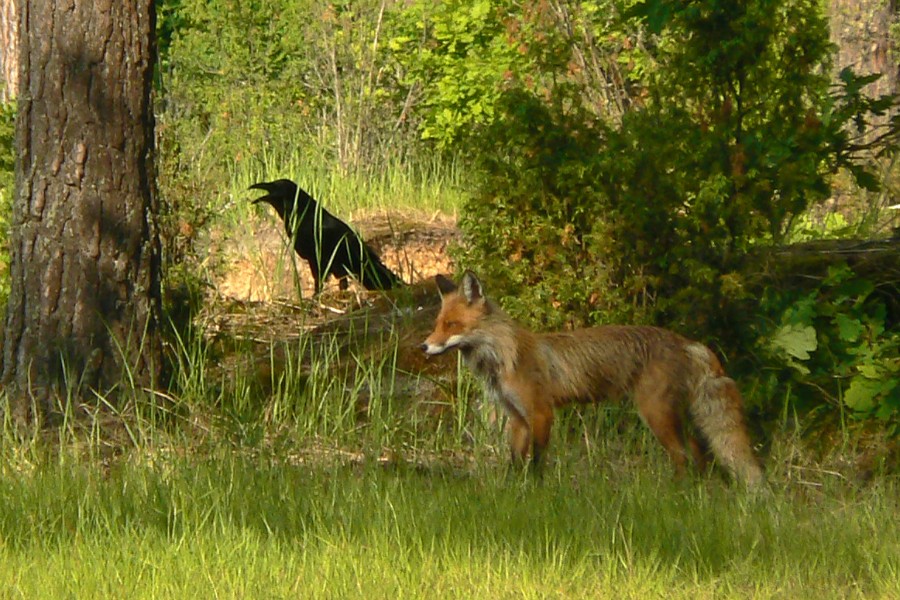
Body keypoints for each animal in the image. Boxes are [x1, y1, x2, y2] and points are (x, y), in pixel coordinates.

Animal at [421, 271, 764, 488]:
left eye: (452, 325)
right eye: (437, 324)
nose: (423, 346)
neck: (505, 355)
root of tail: (685, 341)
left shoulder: (541, 412)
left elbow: (537, 460)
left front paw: (536, 491)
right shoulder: (517, 418)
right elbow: (515, 462)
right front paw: (512, 489)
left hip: (655, 413)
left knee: (683, 456)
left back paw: (677, 494)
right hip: (668, 415)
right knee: (696, 451)